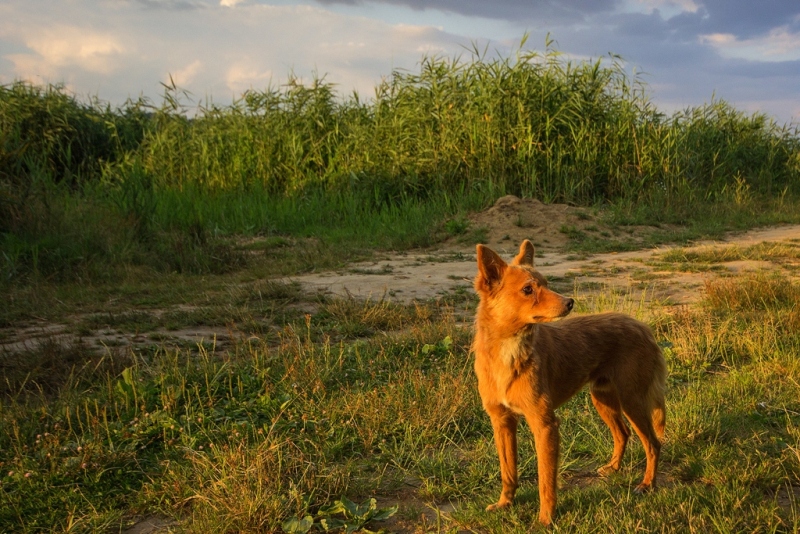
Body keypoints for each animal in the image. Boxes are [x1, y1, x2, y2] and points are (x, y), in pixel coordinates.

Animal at [472, 241, 664, 524]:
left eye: (546, 283)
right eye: (528, 289)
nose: (570, 302)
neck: (509, 351)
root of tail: (642, 325)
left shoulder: (545, 425)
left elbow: (545, 480)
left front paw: (545, 519)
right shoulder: (502, 421)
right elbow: (508, 472)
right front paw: (505, 504)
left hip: (632, 401)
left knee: (653, 444)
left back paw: (647, 484)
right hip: (603, 399)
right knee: (623, 434)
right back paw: (614, 467)